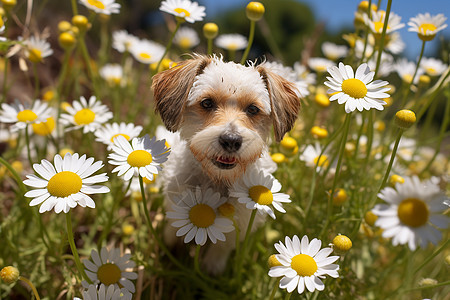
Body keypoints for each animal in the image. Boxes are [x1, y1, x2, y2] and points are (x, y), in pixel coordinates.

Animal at [151, 54, 298, 274]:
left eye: (253, 109)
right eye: (207, 103)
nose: (231, 140)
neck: (218, 180)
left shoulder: (241, 221)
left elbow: (223, 246)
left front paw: (212, 268)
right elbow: (175, 231)